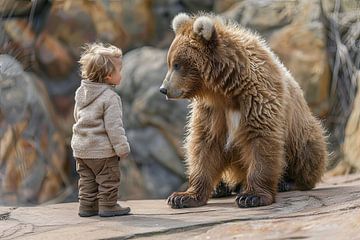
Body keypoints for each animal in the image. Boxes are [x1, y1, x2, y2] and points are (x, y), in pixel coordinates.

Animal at [159, 13, 328, 208]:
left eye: (177, 64)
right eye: (170, 62)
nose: (164, 89)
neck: (226, 90)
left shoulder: (258, 99)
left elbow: (261, 141)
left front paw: (252, 196)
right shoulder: (212, 111)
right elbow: (204, 144)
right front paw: (182, 196)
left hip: (300, 130)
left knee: (307, 151)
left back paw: (288, 182)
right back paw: (221, 188)